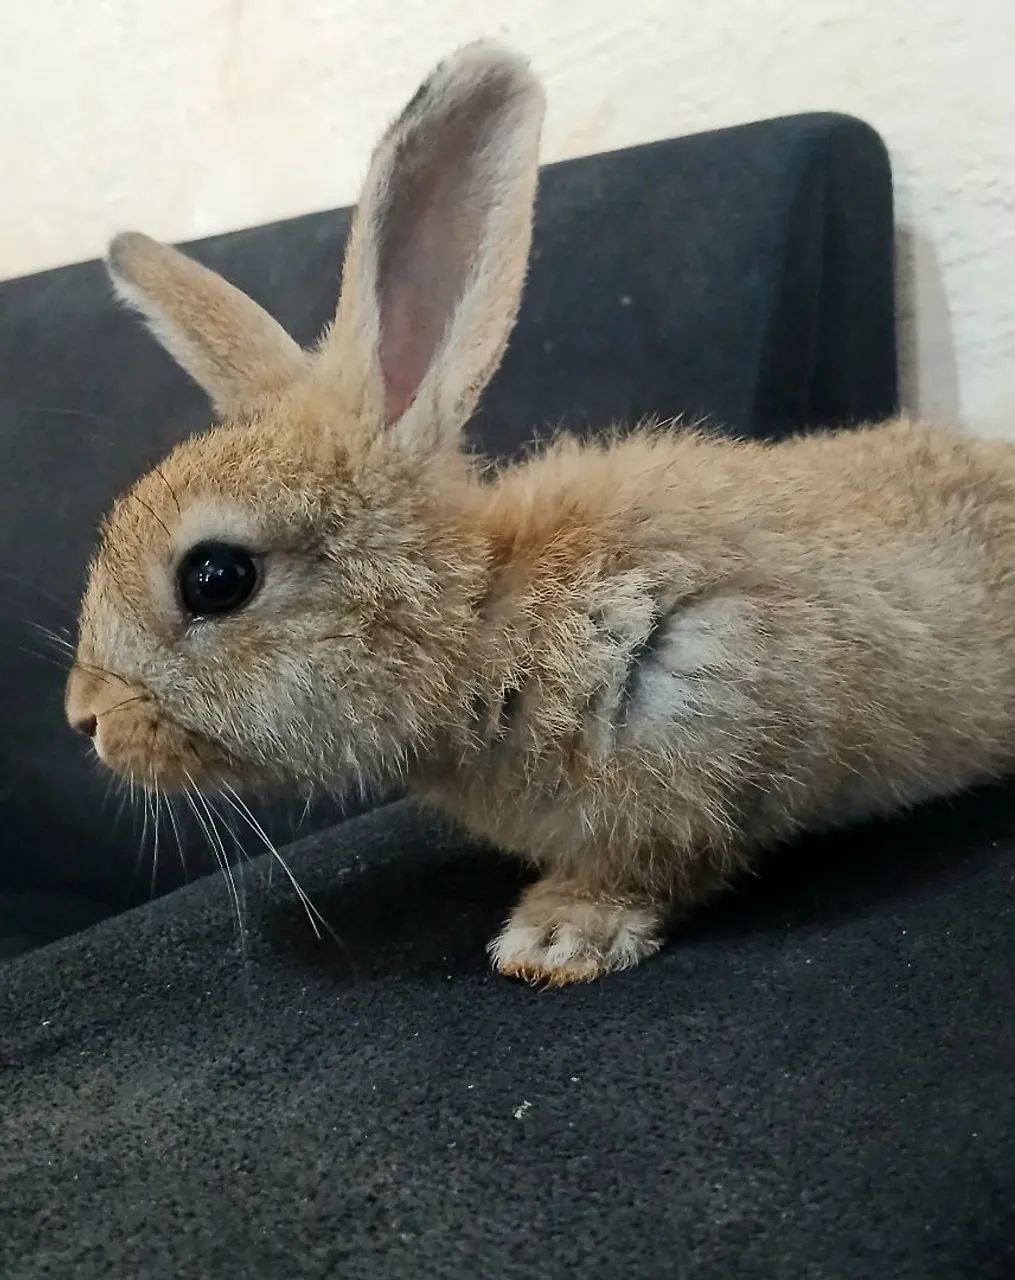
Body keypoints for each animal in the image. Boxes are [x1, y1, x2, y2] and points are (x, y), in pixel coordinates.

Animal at [66, 40, 1015, 986]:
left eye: (215, 578)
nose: (88, 720)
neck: (479, 621)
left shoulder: (704, 696)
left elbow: (665, 856)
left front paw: (558, 937)